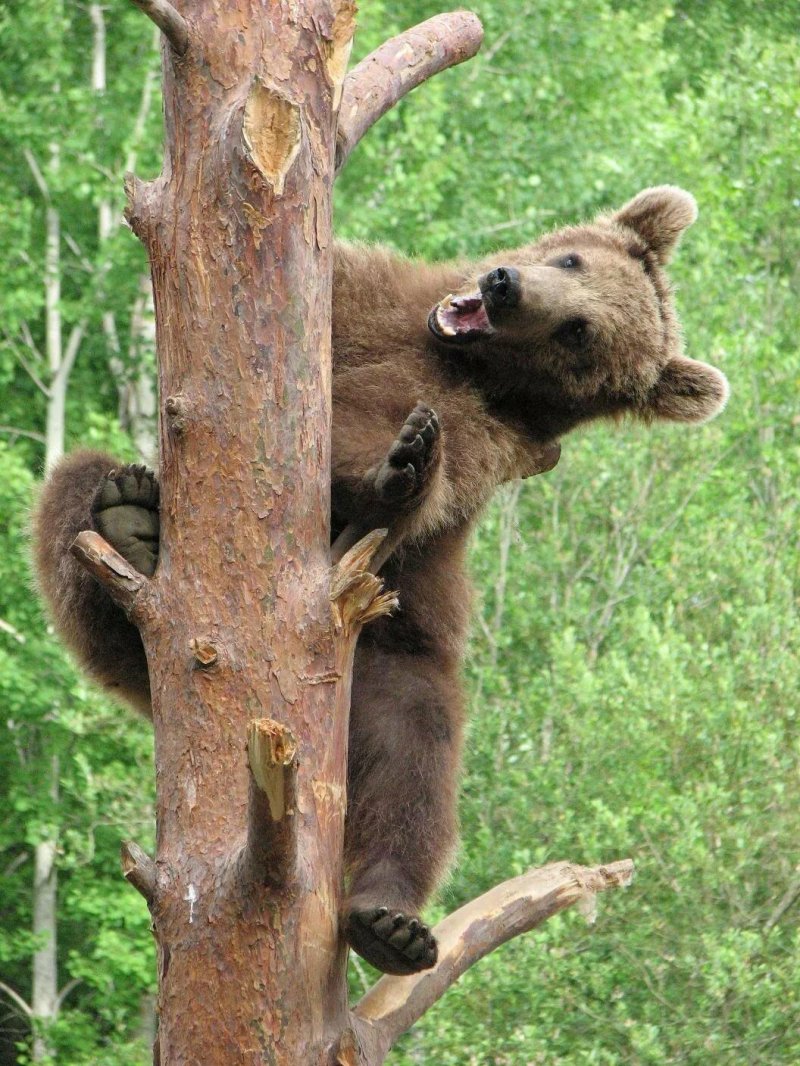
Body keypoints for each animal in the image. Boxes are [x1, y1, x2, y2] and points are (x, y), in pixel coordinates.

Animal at [32, 185, 733, 976]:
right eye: (570, 259)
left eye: (578, 333)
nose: (506, 286)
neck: (463, 360)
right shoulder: (367, 299)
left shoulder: (484, 436)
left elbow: (399, 441)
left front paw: (397, 470)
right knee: (77, 489)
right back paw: (129, 523)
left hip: (385, 661)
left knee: (413, 759)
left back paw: (391, 923)